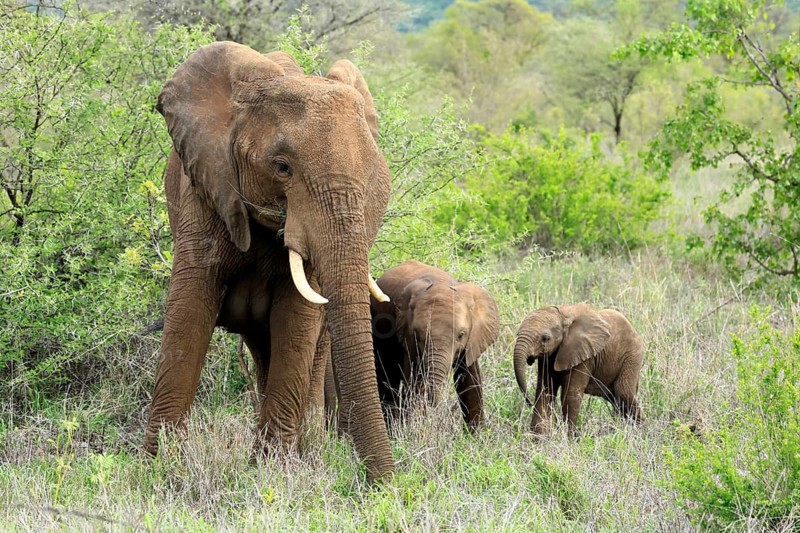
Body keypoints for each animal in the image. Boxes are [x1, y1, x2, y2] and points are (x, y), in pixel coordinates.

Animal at [144, 41, 395, 482]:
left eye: (373, 176)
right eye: (282, 167)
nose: (389, 484)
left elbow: (297, 322)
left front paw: (271, 472)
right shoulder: (205, 189)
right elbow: (188, 313)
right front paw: (157, 470)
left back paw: (309, 448)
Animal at [368, 260, 499, 431]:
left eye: (461, 335)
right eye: (417, 335)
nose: (433, 404)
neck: (440, 284)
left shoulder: (473, 339)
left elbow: (470, 380)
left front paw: (477, 434)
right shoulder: (407, 337)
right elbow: (415, 381)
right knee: (388, 377)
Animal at [513, 304, 644, 437]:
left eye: (545, 338)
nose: (529, 403)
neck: (563, 316)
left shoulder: (583, 356)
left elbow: (570, 396)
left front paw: (569, 437)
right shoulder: (547, 357)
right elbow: (545, 392)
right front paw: (538, 438)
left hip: (632, 356)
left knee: (624, 393)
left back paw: (640, 432)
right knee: (616, 399)